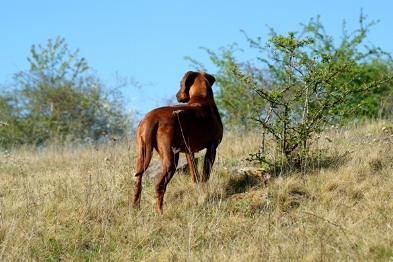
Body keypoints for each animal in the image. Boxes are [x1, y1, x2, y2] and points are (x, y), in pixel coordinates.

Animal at [132, 71, 222, 213]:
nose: (177, 95)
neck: (202, 98)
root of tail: (152, 118)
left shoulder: (189, 151)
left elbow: (194, 174)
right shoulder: (212, 148)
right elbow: (206, 174)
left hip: (142, 156)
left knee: (138, 183)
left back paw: (135, 207)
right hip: (171, 159)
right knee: (160, 186)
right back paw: (160, 212)